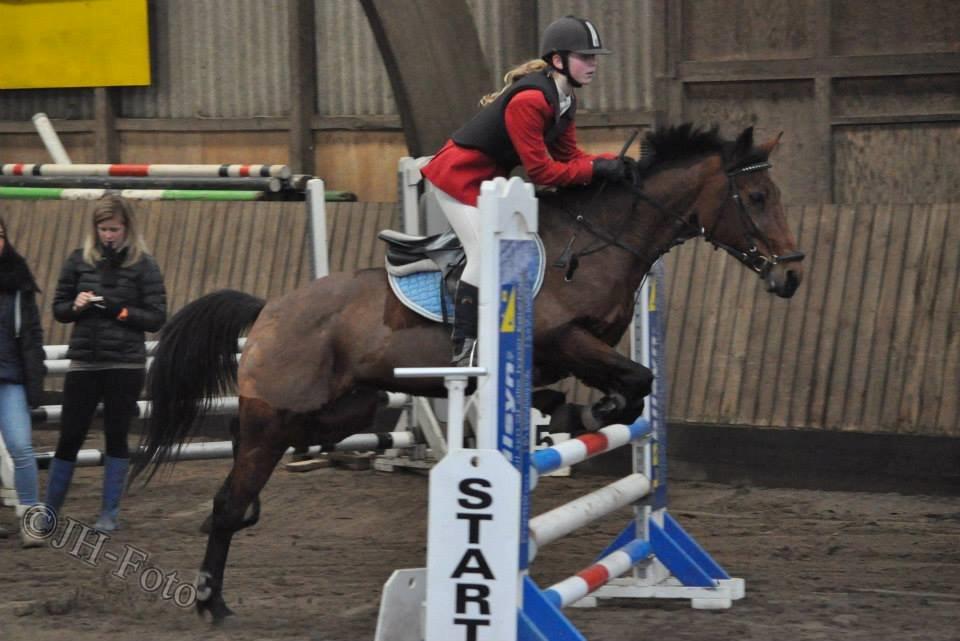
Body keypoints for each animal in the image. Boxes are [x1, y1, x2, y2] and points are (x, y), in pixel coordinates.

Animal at [131, 124, 805, 622]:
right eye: (758, 198)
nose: (792, 275)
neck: (602, 242)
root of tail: (269, 307)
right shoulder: (564, 339)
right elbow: (635, 381)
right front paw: (586, 411)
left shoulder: (583, 349)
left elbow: (627, 387)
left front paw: (570, 409)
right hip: (275, 417)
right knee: (231, 497)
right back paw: (211, 601)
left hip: (342, 409)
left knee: (279, 462)